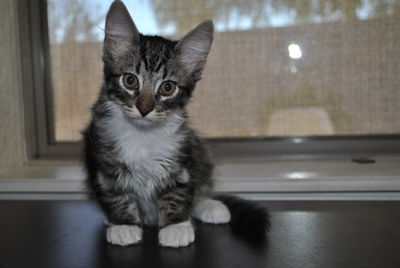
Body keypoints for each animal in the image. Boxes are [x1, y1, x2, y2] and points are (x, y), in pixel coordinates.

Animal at [83, 0, 270, 248]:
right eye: (130, 80)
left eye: (167, 87)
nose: (144, 109)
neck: (143, 135)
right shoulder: (102, 158)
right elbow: (114, 194)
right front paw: (123, 224)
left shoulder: (182, 157)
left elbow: (179, 192)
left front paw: (175, 226)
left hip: (200, 150)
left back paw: (210, 206)